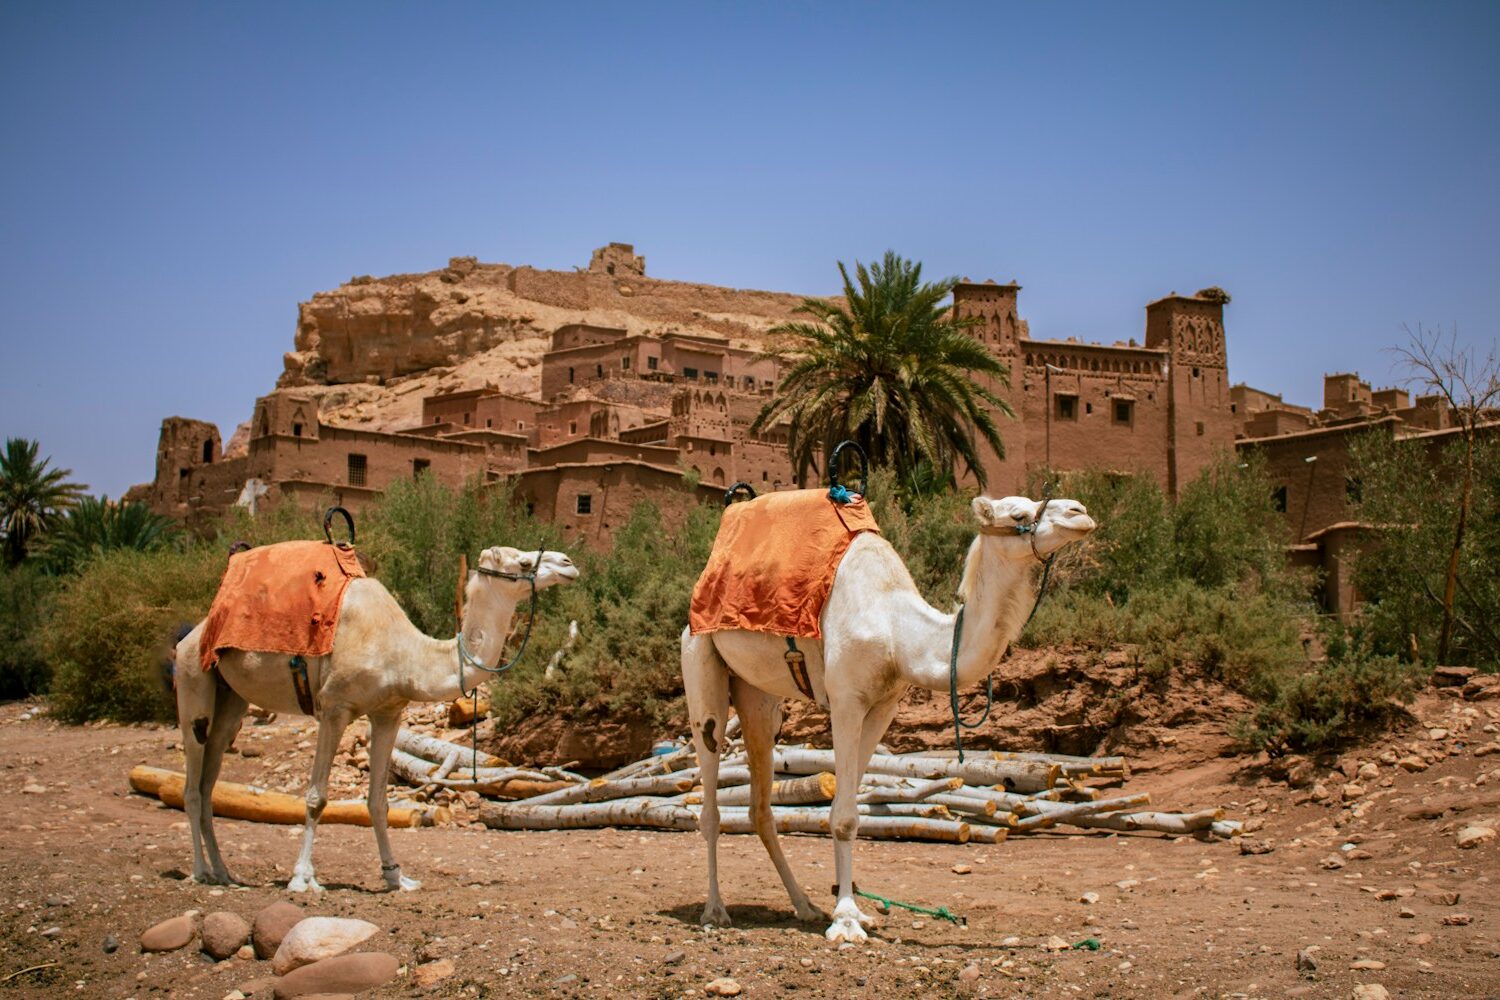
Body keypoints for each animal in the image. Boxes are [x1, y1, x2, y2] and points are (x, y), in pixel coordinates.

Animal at [172, 548, 576, 893]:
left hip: (231, 699)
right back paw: (201, 871)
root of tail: (192, 634)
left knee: (210, 776)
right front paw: (302, 878)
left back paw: (224, 872)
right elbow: (317, 797)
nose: (569, 564)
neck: (405, 654)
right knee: (192, 781)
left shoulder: (388, 712)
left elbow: (379, 801)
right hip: (193, 680)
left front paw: (397, 876)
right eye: (523, 562)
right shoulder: (334, 708)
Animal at [681, 497, 1092, 941]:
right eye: (1018, 514)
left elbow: (848, 808)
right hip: (700, 663)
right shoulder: (845, 700)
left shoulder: (884, 707)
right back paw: (715, 911)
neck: (898, 632)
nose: (1080, 513)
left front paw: (853, 911)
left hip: (758, 694)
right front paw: (845, 921)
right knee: (709, 789)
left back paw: (804, 906)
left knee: (760, 806)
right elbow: (843, 816)